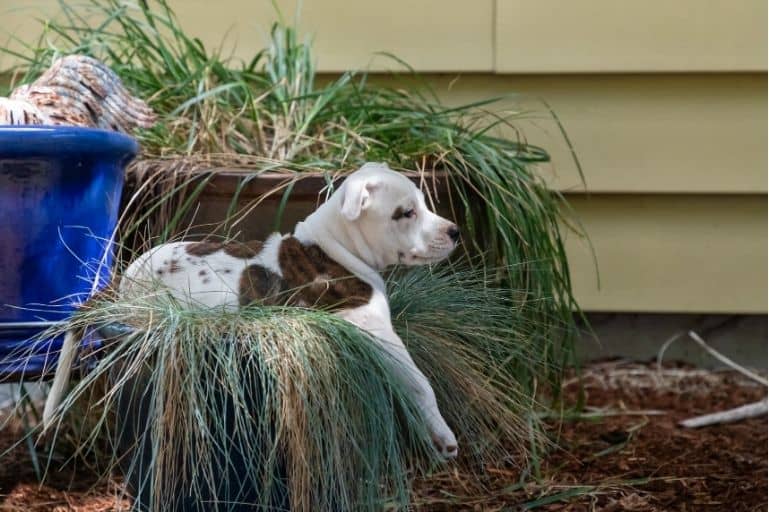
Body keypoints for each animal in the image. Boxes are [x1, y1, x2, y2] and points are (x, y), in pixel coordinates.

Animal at [43, 163, 462, 456]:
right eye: (405, 213)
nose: (455, 231)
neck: (335, 247)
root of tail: (126, 279)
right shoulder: (378, 332)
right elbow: (421, 382)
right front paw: (442, 435)